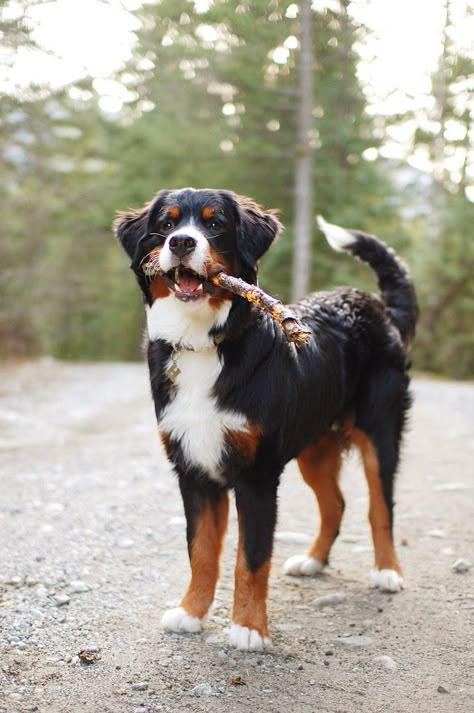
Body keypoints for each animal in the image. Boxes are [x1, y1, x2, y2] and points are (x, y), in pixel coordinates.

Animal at [115, 185, 418, 652]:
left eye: (215, 224)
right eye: (166, 224)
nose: (181, 243)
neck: (205, 344)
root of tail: (371, 304)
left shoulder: (256, 475)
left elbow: (252, 559)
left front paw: (249, 628)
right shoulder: (193, 469)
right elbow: (201, 552)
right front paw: (191, 613)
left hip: (379, 433)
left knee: (379, 507)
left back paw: (387, 571)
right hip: (314, 446)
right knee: (336, 504)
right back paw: (312, 561)